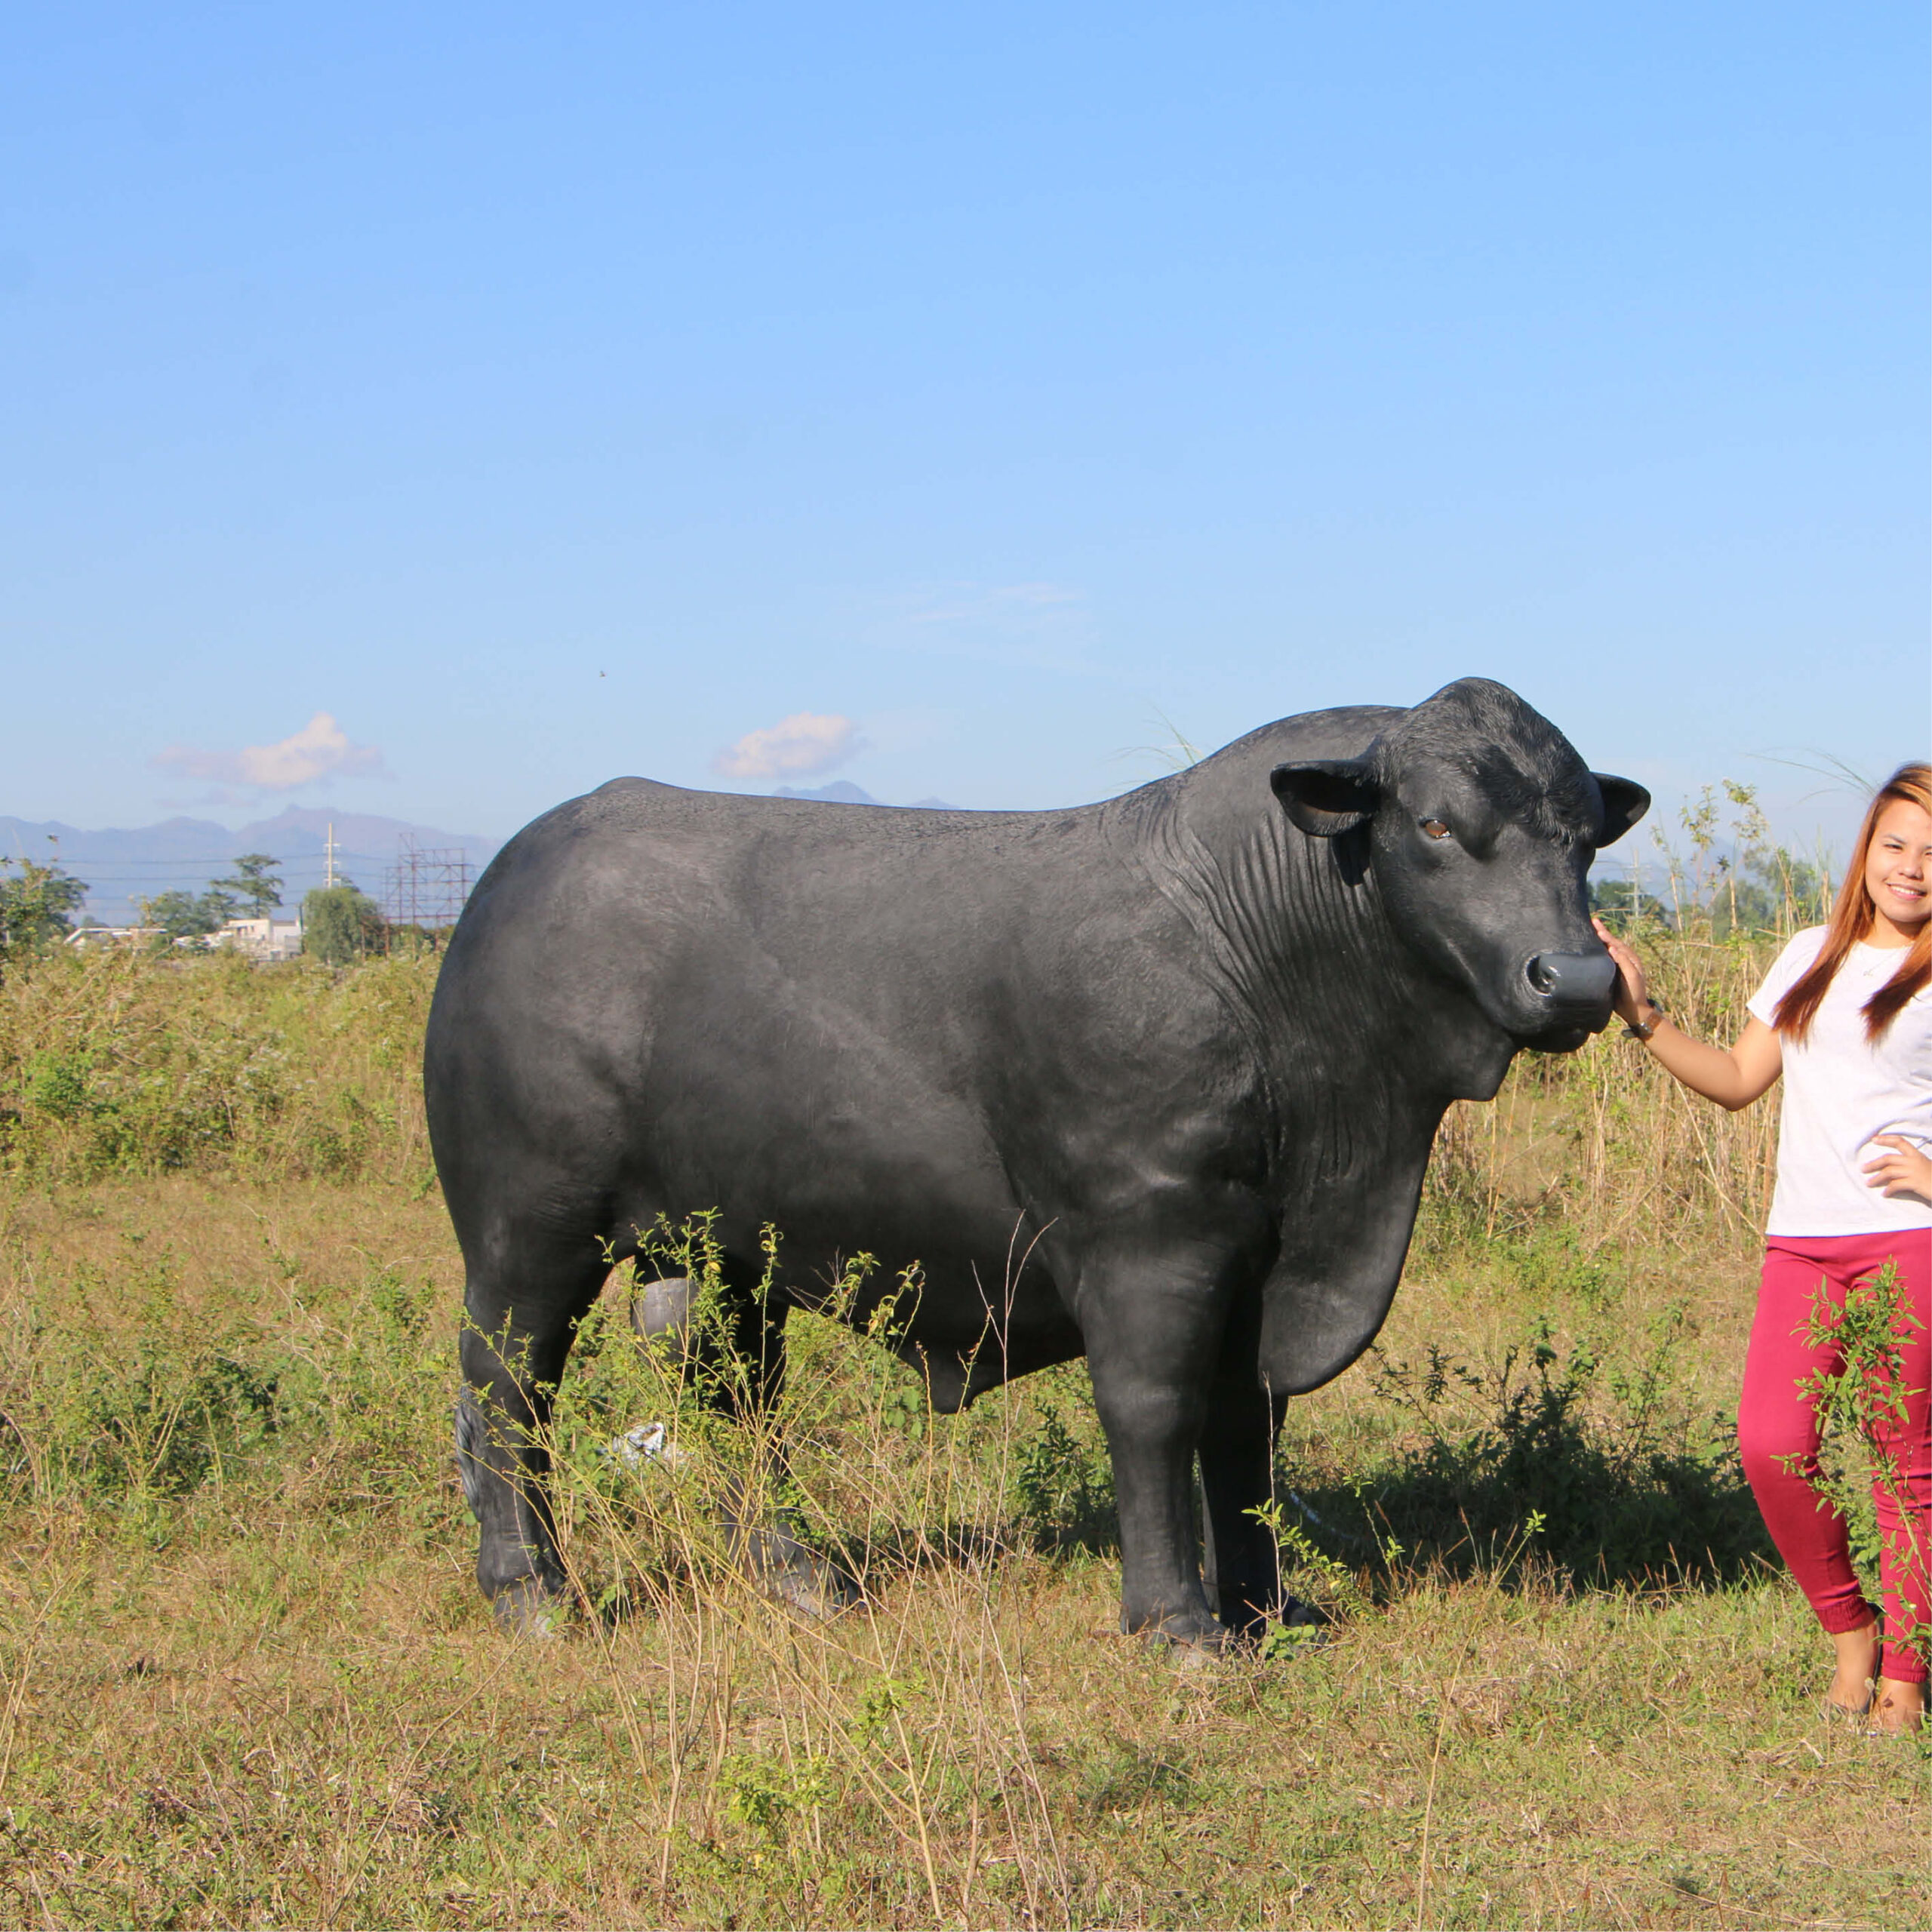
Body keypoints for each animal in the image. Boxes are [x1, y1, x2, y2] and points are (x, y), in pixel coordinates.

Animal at [427, 677, 1648, 1646]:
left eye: (1587, 837)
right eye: (1435, 826)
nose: (1579, 979)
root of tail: (529, 856)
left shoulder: (1265, 1252)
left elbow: (1244, 1427)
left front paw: (1265, 1607)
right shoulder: (1151, 1235)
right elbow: (1155, 1411)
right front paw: (1178, 1622)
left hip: (718, 1246)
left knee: (733, 1391)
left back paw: (796, 1573)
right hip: (530, 1225)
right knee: (505, 1387)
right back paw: (535, 1594)